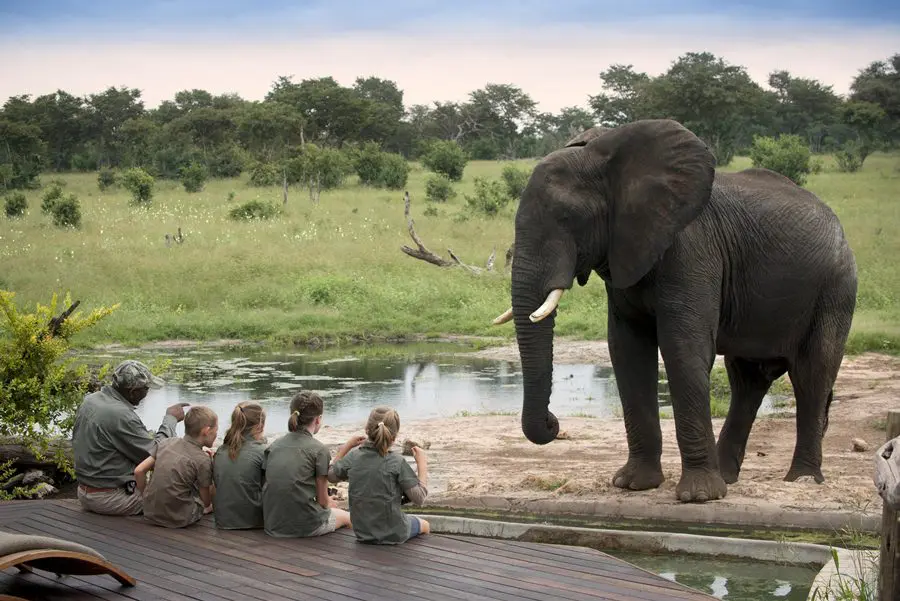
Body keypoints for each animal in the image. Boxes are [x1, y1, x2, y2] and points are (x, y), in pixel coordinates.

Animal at [492, 118, 856, 502]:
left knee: (812, 374)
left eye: (568, 218)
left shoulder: (692, 248)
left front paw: (698, 497)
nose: (553, 422)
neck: (607, 158)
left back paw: (802, 480)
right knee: (748, 379)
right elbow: (627, 350)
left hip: (836, 288)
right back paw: (728, 478)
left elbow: (683, 348)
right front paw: (633, 484)